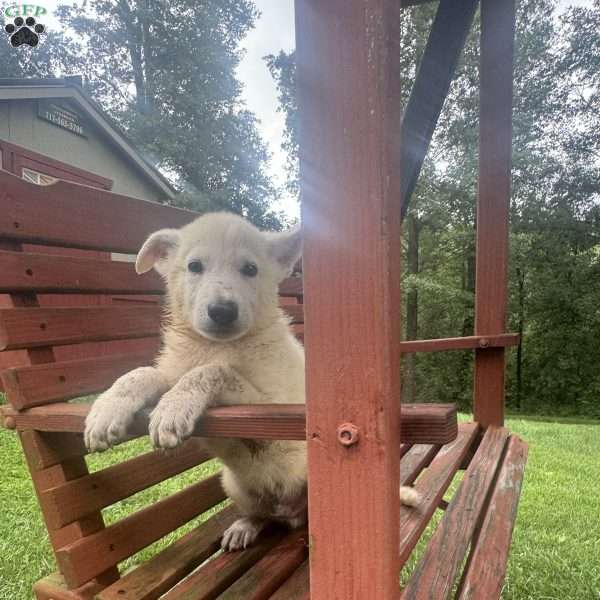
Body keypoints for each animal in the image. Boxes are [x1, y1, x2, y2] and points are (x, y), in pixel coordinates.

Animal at [84, 213, 420, 552]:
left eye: (250, 269)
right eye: (194, 266)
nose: (222, 311)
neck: (217, 346)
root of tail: (291, 513)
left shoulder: (270, 408)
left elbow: (214, 370)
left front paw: (171, 410)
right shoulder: (172, 371)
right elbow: (142, 373)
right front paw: (105, 412)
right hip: (234, 484)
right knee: (261, 514)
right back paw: (246, 526)